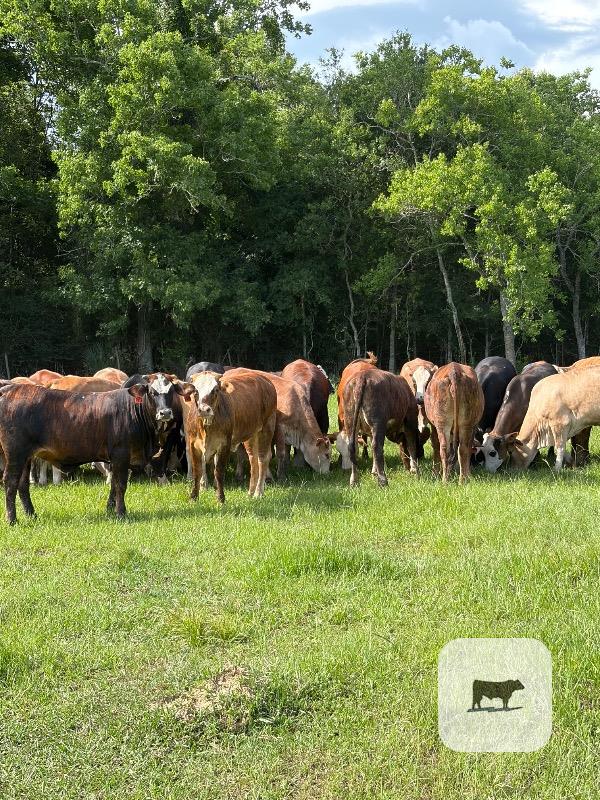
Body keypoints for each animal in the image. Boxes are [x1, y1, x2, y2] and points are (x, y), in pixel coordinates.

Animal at [0, 374, 194, 523]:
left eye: (171, 392)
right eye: (152, 392)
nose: (165, 413)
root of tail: (11, 390)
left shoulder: (116, 459)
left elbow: (114, 484)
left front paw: (110, 509)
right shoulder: (121, 454)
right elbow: (121, 484)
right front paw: (121, 513)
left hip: (26, 457)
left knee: (23, 485)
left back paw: (32, 515)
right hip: (15, 454)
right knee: (10, 482)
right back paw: (12, 519)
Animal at [184, 371, 276, 503]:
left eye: (216, 390)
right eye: (196, 391)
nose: (204, 410)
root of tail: (265, 380)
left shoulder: (224, 444)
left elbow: (219, 471)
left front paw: (221, 499)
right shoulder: (193, 444)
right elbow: (197, 471)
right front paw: (193, 498)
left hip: (267, 427)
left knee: (263, 459)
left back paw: (258, 493)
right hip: (251, 434)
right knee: (253, 459)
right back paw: (250, 493)